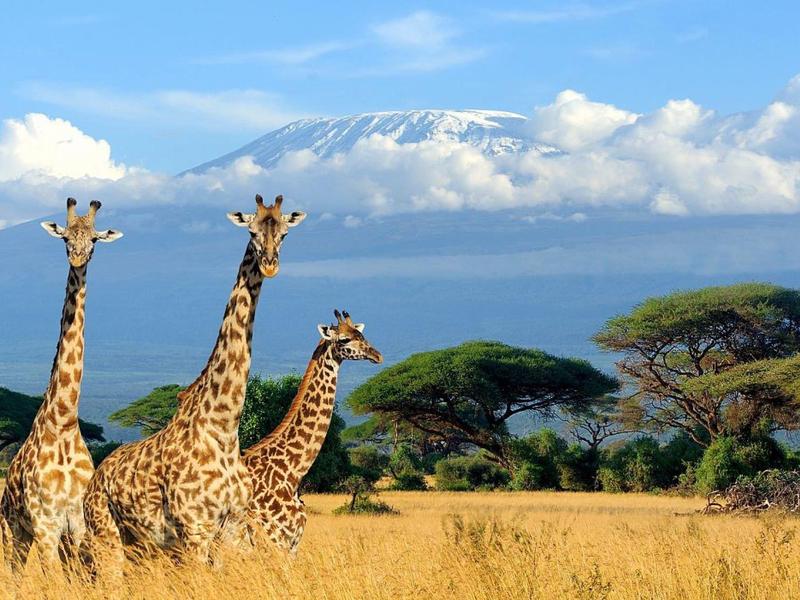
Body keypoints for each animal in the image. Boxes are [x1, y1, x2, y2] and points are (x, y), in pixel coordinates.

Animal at [0, 198, 123, 568]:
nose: (78, 257)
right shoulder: (45, 526)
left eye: (94, 240)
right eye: (66, 237)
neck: (64, 421)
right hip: (14, 530)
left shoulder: (78, 524)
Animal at [82, 194, 305, 570]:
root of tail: (95, 478)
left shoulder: (233, 528)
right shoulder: (195, 530)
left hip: (142, 546)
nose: (270, 265)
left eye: (285, 233)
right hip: (106, 535)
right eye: (251, 231)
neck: (224, 427)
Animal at [242, 310, 382, 554]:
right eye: (344, 339)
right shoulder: (276, 540)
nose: (377, 355)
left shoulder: (291, 544)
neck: (292, 472)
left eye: (362, 335)